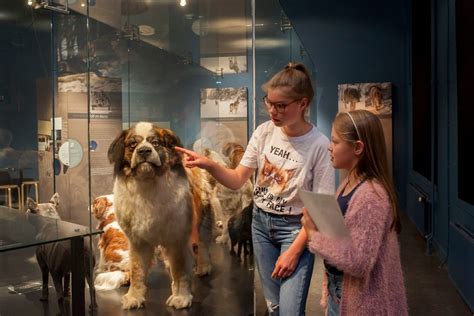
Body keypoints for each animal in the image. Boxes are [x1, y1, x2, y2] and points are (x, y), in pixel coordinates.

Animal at [107, 122, 213, 310]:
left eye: (155, 143)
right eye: (133, 144)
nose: (144, 151)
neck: (148, 184)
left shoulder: (177, 238)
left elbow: (180, 270)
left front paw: (181, 297)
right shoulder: (138, 241)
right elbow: (137, 270)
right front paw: (134, 297)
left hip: (203, 220)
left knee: (203, 243)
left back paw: (204, 266)